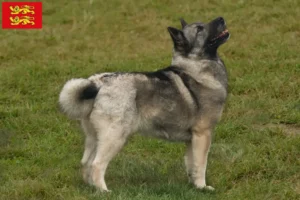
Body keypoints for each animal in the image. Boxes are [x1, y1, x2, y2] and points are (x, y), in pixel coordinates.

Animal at [58, 16, 230, 191]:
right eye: (200, 29)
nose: (221, 18)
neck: (196, 66)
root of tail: (98, 83)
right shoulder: (203, 134)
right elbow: (201, 164)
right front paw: (203, 187)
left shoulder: (191, 139)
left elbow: (191, 164)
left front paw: (194, 186)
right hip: (114, 137)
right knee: (96, 164)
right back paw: (104, 191)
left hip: (95, 137)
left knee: (86, 162)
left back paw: (92, 188)